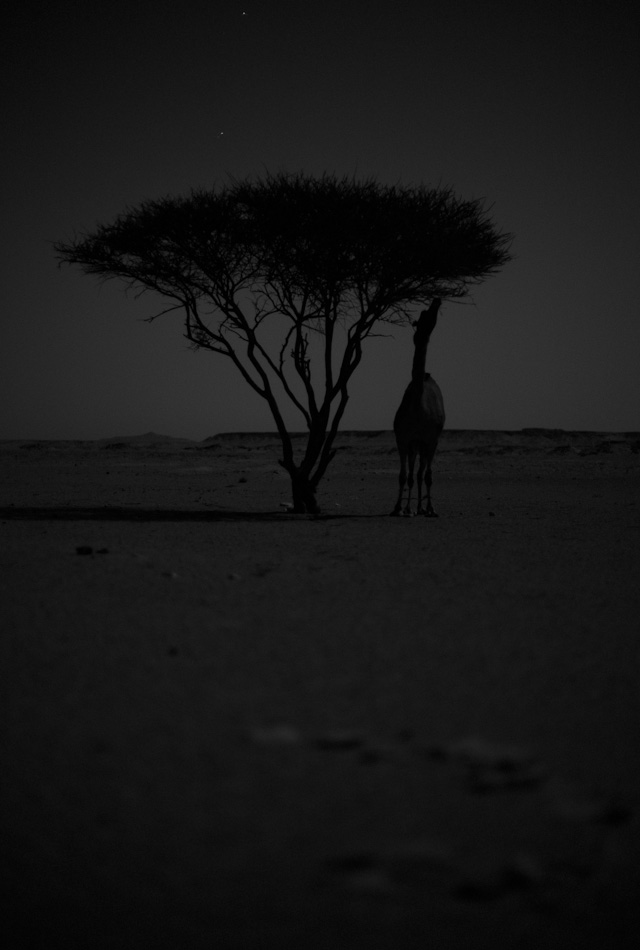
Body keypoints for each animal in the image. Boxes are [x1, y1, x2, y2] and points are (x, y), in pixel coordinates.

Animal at [390, 300, 444, 516]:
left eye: (430, 318)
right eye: (423, 316)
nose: (437, 301)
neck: (418, 409)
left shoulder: (432, 439)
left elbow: (428, 475)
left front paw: (431, 508)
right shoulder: (403, 438)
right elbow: (403, 475)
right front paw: (398, 508)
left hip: (424, 444)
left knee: (421, 473)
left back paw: (421, 508)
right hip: (415, 445)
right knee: (414, 473)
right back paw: (411, 507)